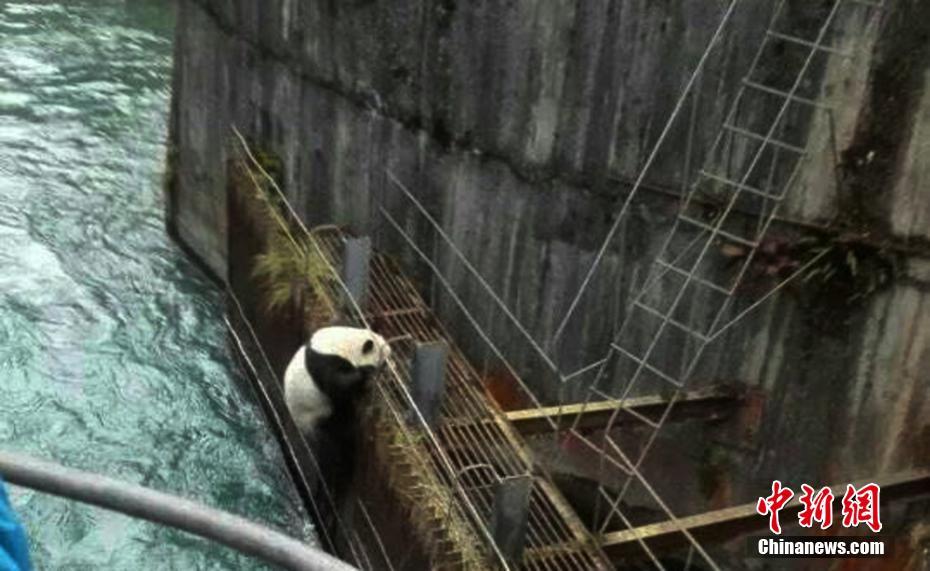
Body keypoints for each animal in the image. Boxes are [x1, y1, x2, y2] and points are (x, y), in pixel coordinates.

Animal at [283, 326, 392, 521]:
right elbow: (337, 384)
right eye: (384, 360)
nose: (390, 366)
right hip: (317, 417)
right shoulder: (324, 362)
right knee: (333, 448)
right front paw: (367, 374)